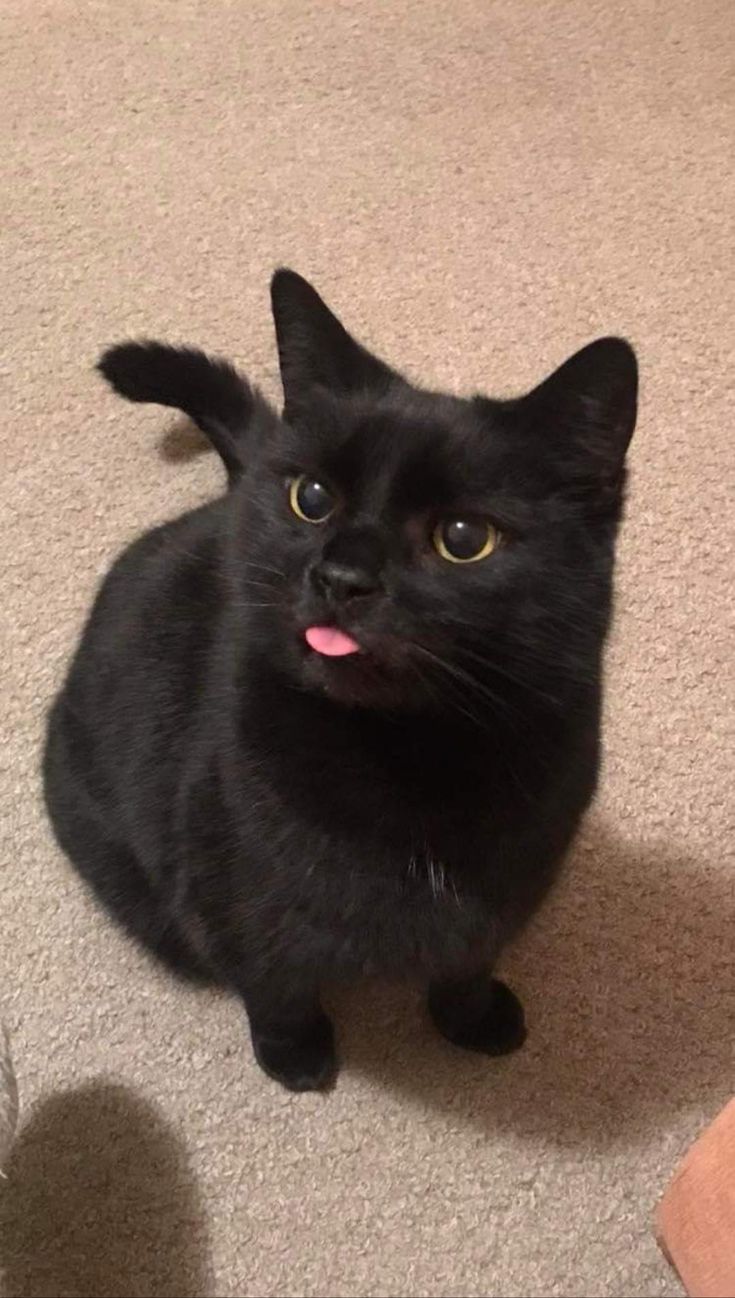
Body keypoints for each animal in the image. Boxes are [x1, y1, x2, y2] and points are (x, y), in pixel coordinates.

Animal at [41, 271, 638, 1085]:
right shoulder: (233, 905)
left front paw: (472, 1019)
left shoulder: (506, 893)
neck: (410, 761)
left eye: (463, 539)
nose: (341, 577)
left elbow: (467, 962)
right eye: (313, 498)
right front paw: (296, 1058)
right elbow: (275, 984)